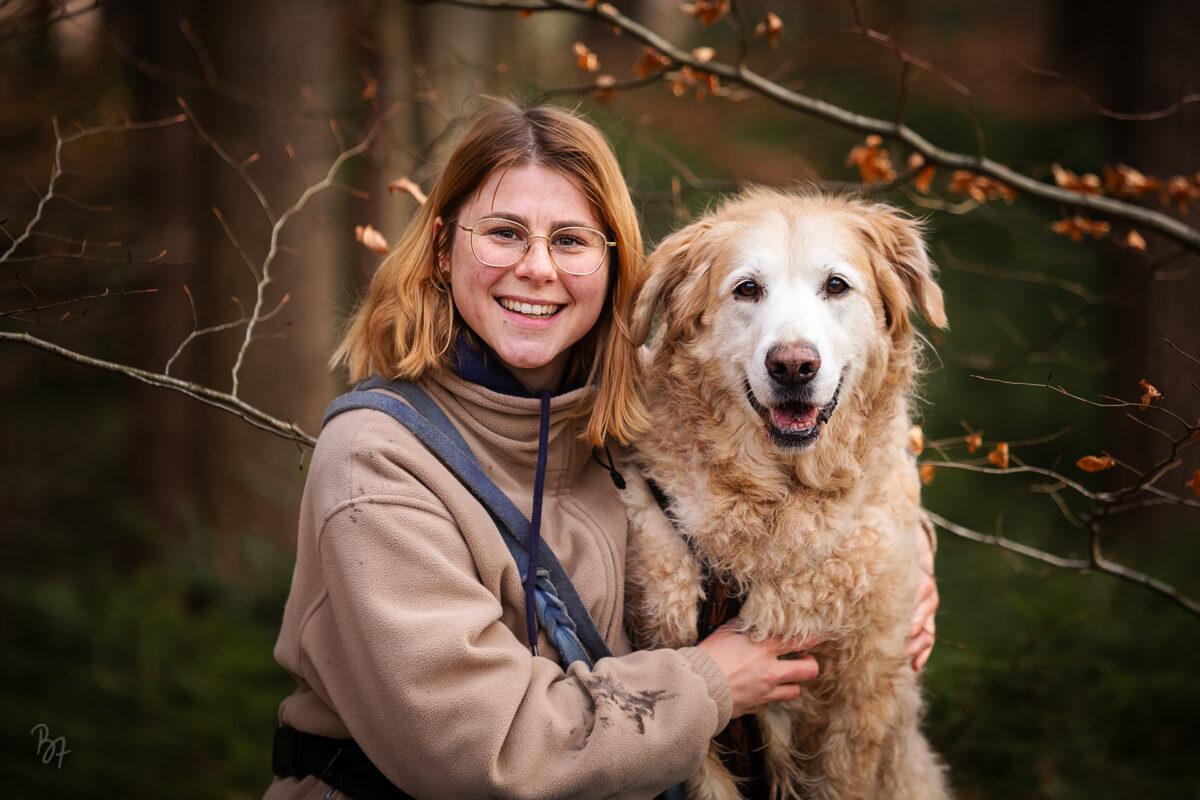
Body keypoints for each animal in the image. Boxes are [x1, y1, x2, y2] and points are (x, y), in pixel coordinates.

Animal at [624, 189, 950, 800]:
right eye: (747, 289)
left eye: (837, 285)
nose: (793, 364)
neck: (785, 500)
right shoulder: (690, 693)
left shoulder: (861, 696)